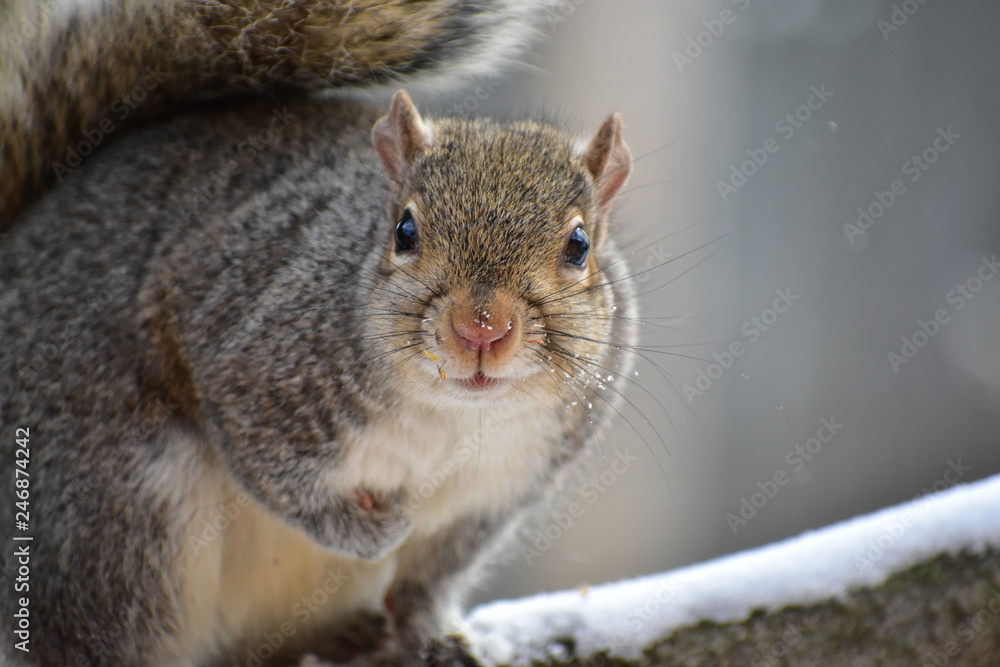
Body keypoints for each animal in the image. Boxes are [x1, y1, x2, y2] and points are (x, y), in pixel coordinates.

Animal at [0, 1, 637, 665]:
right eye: (404, 231)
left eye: (579, 245)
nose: (481, 330)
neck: (453, 415)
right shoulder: (256, 363)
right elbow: (275, 477)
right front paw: (370, 531)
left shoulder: (495, 494)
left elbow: (428, 579)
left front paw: (428, 635)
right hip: (116, 524)